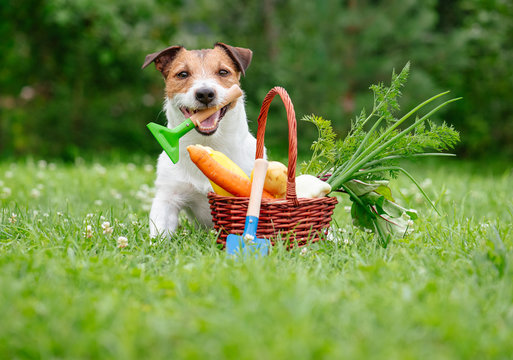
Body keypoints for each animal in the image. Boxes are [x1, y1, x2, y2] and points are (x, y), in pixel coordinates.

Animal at [141, 43, 258, 239]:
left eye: (223, 72)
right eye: (182, 74)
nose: (205, 93)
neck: (208, 145)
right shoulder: (167, 198)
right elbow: (160, 233)